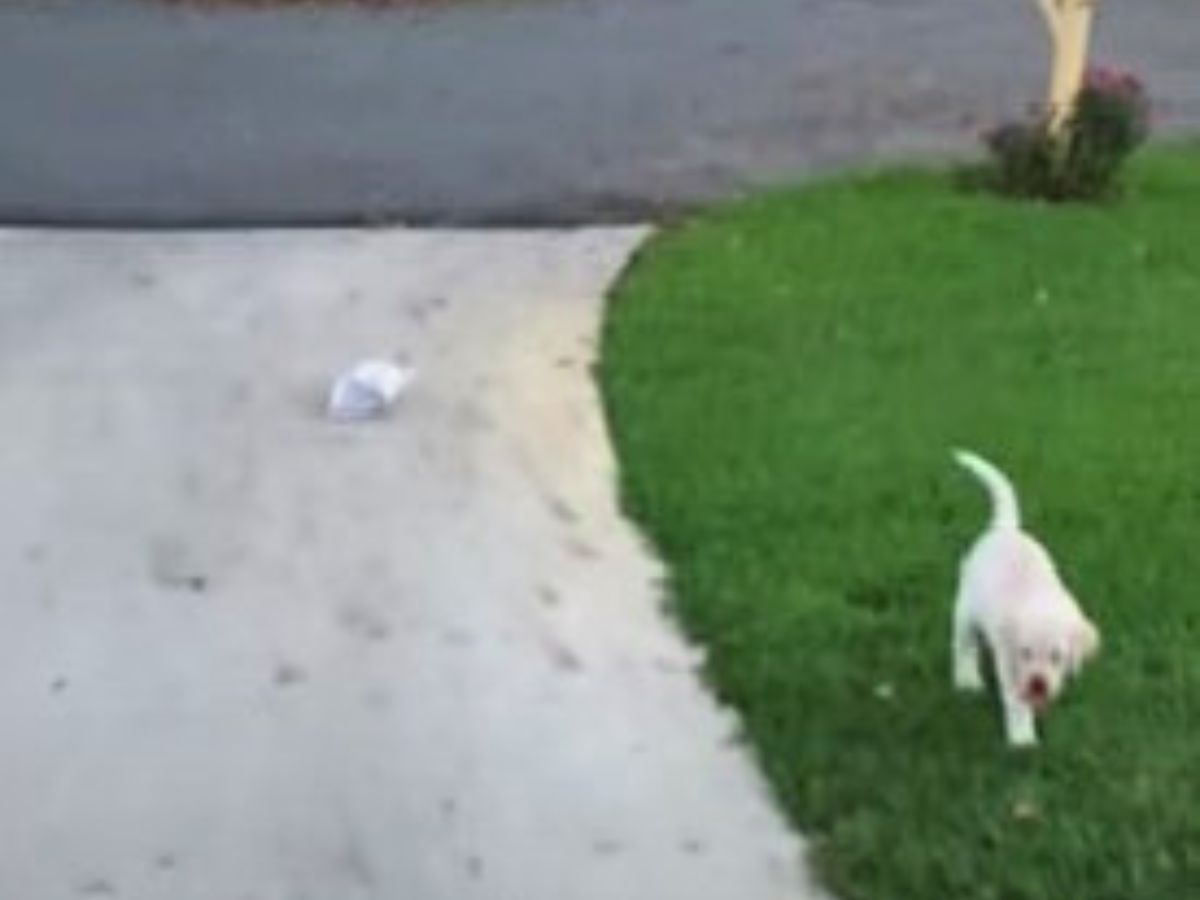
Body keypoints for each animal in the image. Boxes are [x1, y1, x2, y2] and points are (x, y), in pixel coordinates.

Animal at [950, 448, 1099, 748]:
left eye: (1057, 656)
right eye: (1025, 652)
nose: (1037, 684)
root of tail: (1004, 528)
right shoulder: (1010, 662)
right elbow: (1016, 702)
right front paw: (1023, 739)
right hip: (965, 609)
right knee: (964, 646)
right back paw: (967, 680)